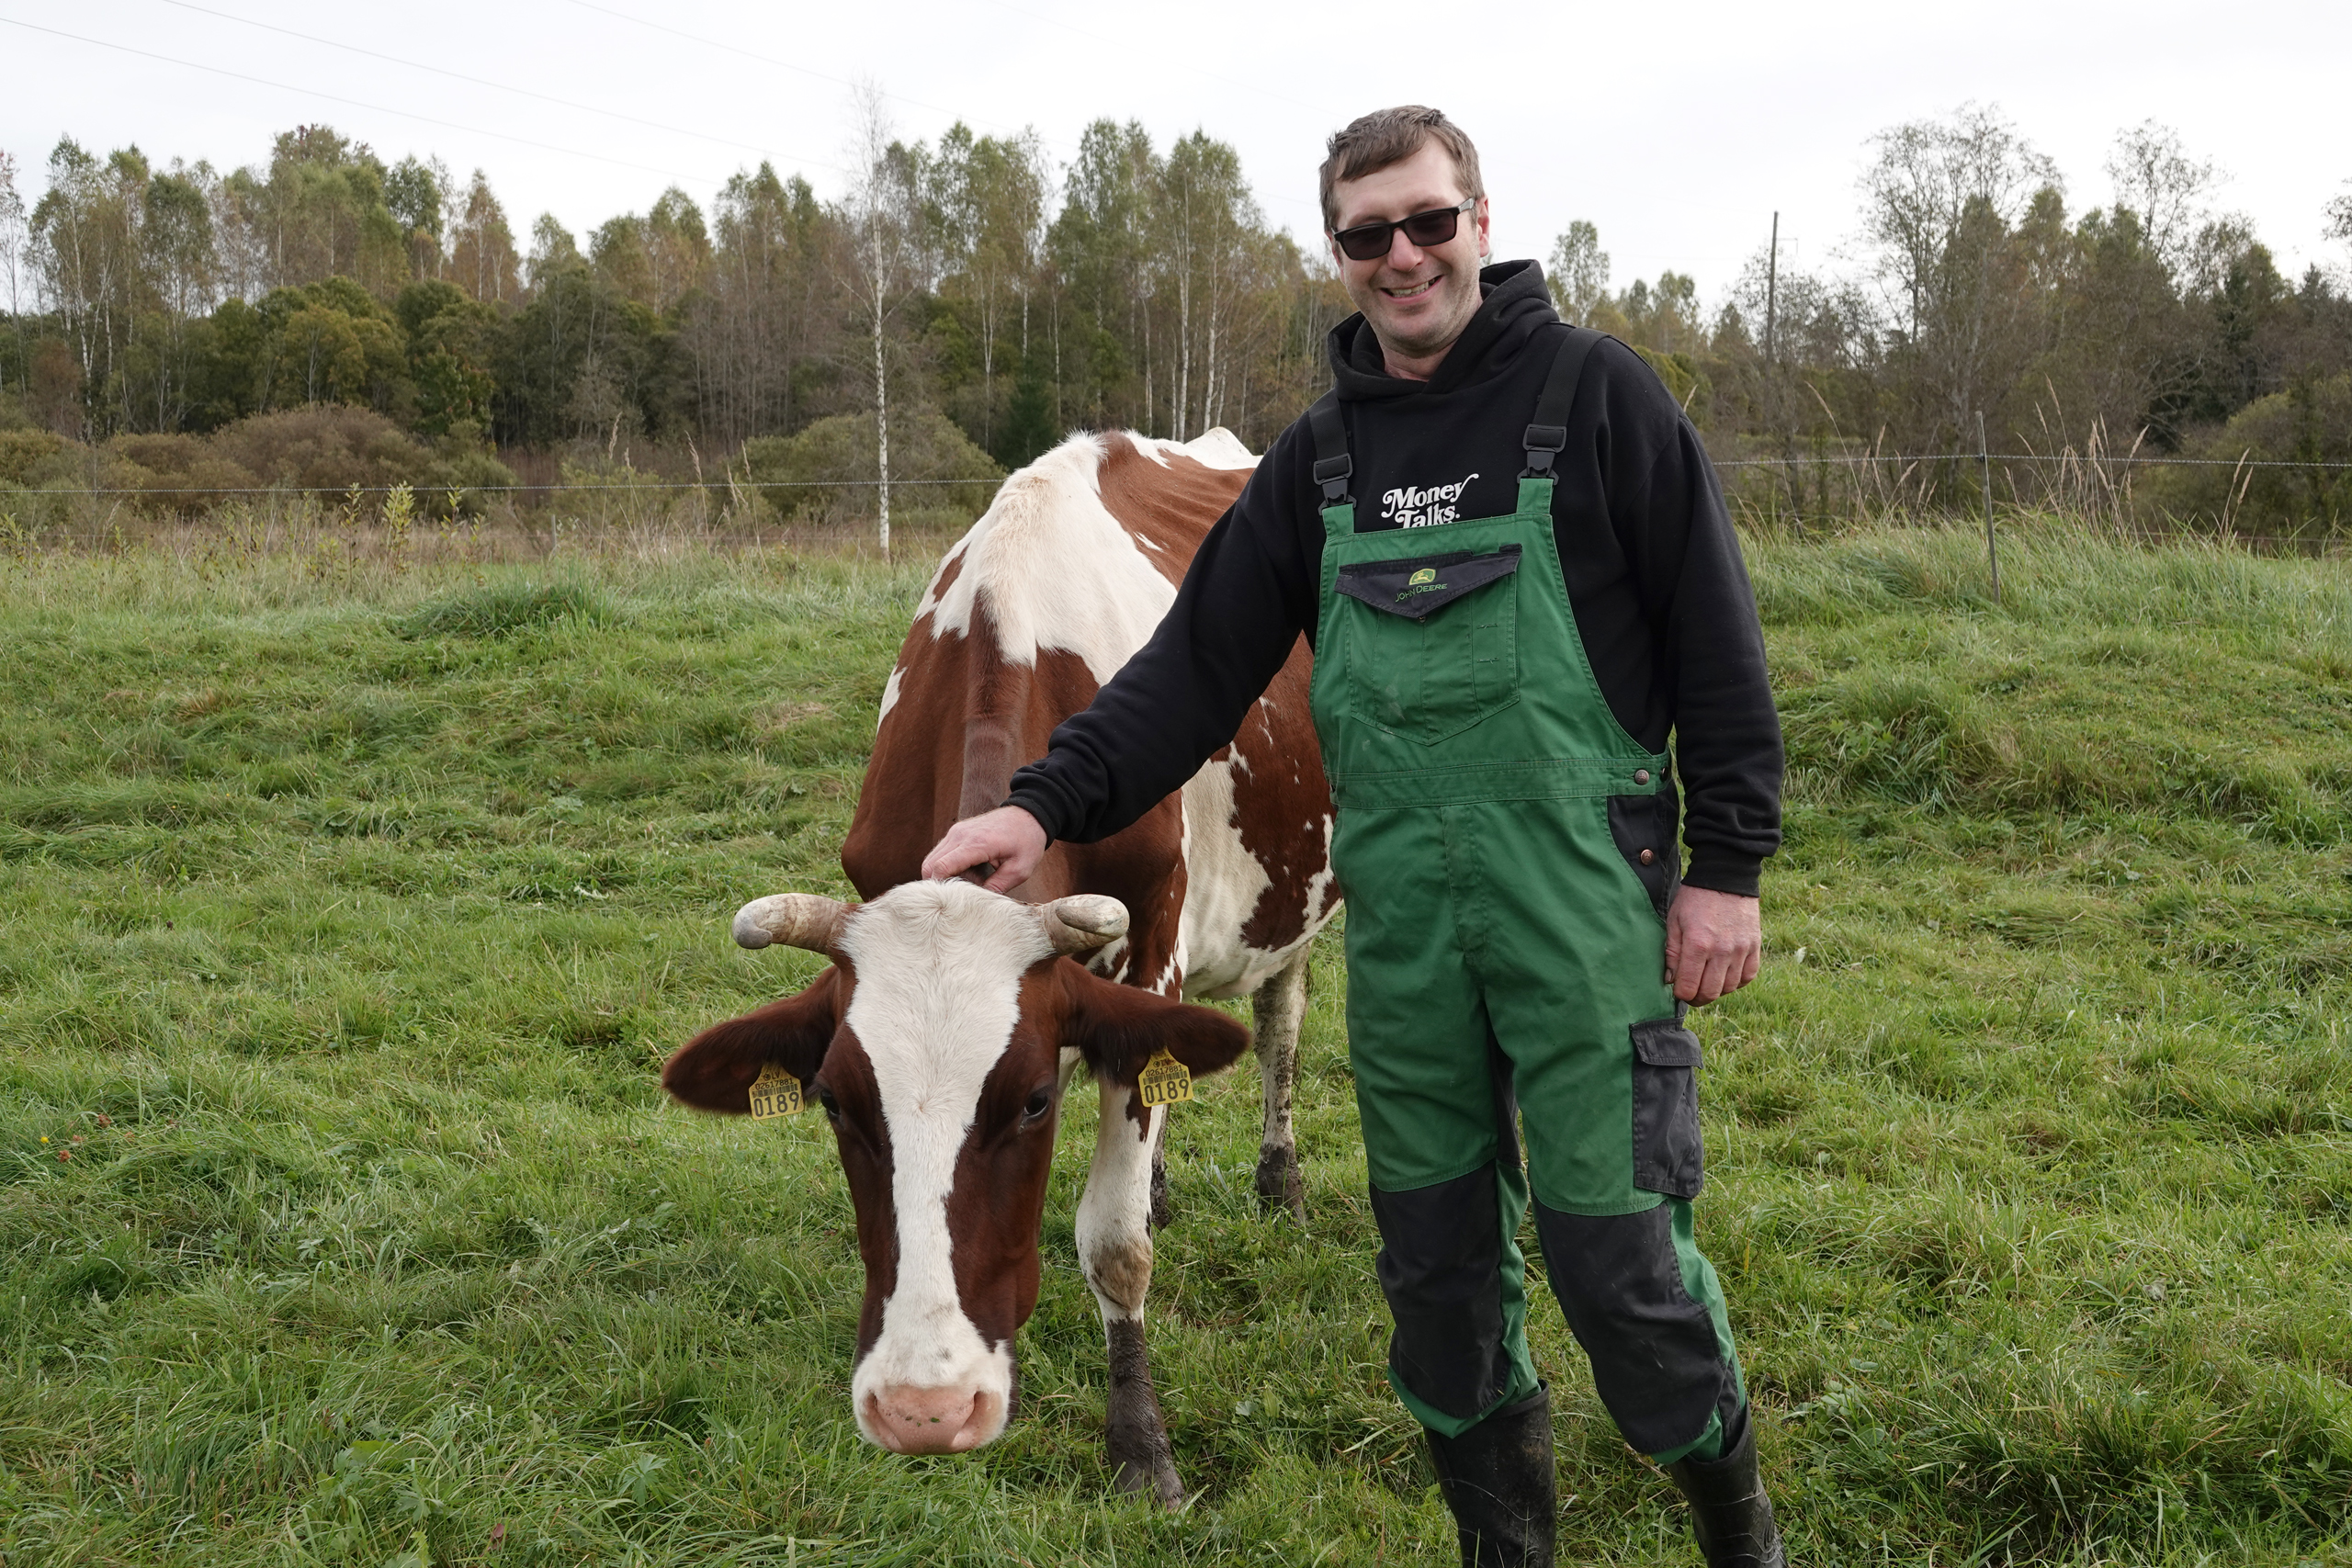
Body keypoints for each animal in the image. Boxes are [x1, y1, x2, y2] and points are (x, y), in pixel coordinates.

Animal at [662, 432, 1345, 1504]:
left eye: (1031, 1101)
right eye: (833, 1102)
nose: (925, 1410)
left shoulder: (1154, 942)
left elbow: (1114, 1240)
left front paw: (1139, 1443)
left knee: (1280, 1016)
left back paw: (1280, 1179)